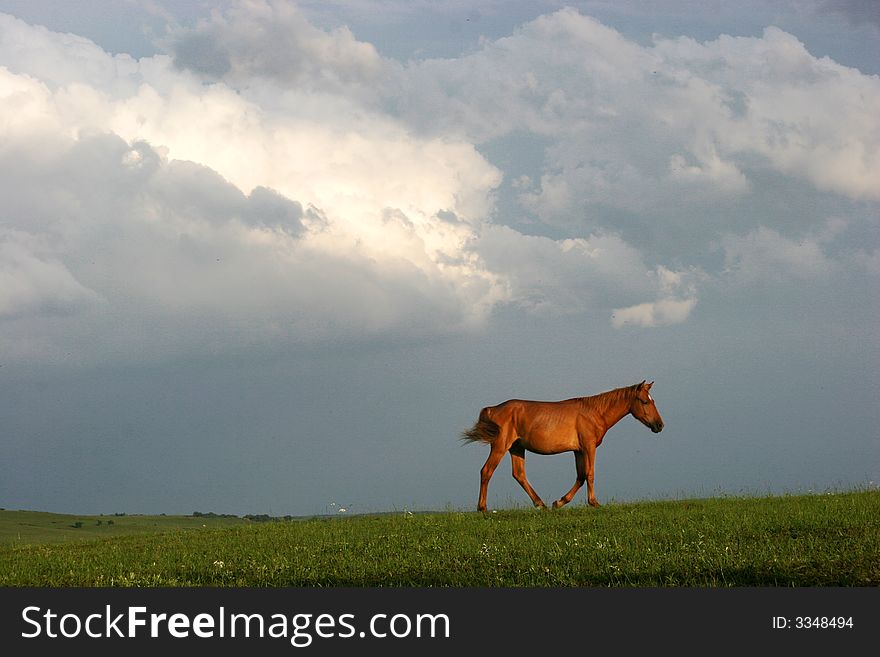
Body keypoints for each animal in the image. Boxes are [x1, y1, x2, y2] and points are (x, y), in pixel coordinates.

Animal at [464, 380, 664, 512]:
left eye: (653, 400)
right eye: (645, 401)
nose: (659, 425)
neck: (594, 412)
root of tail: (493, 409)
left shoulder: (578, 451)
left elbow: (581, 476)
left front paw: (559, 502)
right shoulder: (589, 447)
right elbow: (590, 474)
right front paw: (594, 502)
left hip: (517, 448)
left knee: (519, 474)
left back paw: (541, 504)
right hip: (500, 446)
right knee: (487, 471)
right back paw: (482, 508)